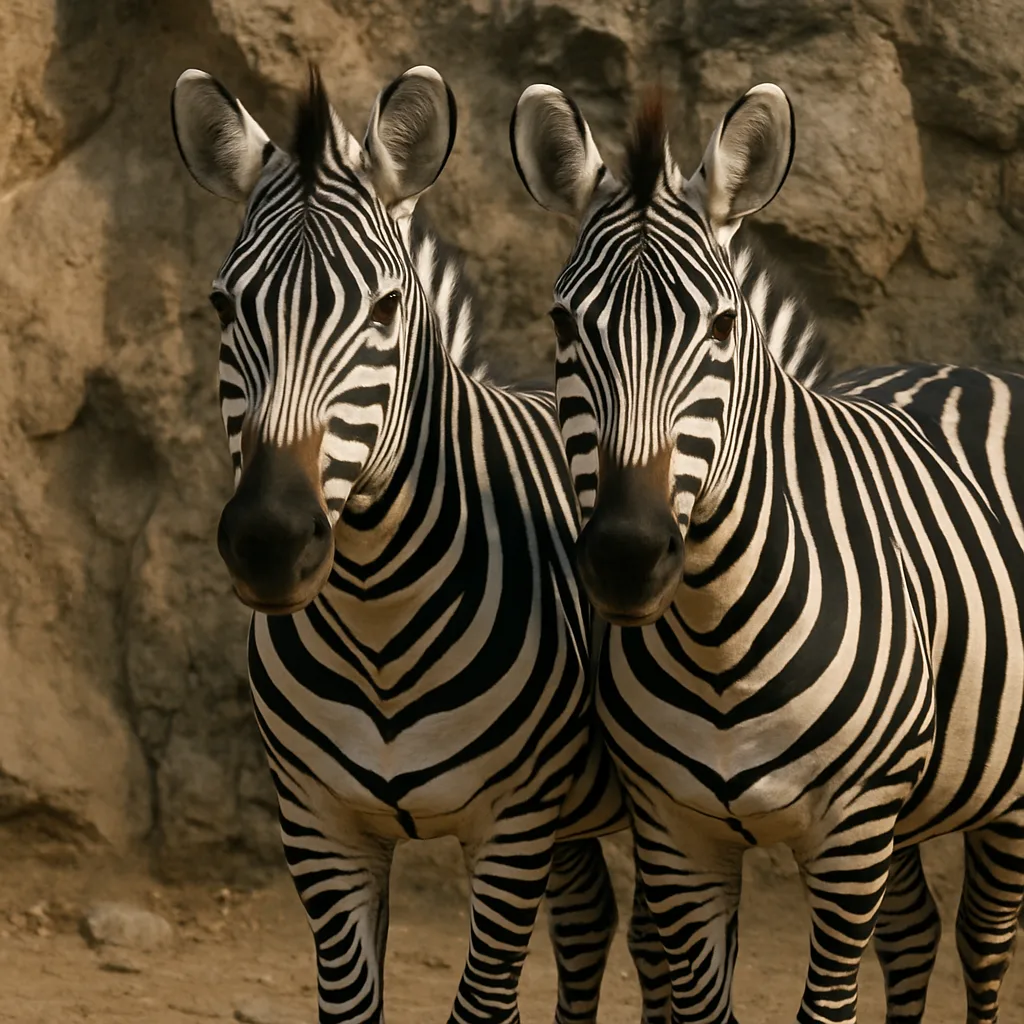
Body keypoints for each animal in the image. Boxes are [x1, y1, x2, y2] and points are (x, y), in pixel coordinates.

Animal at [510, 80, 1024, 1024]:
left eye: (719, 327)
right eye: (563, 324)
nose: (629, 555)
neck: (718, 636)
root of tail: (967, 368)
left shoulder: (852, 836)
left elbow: (826, 1005)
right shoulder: (676, 836)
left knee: (985, 939)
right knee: (917, 933)